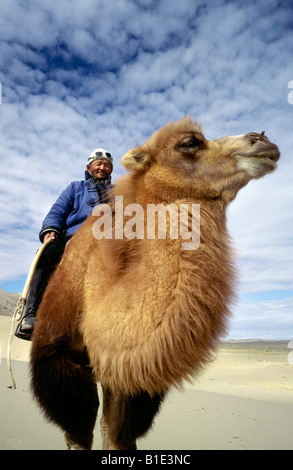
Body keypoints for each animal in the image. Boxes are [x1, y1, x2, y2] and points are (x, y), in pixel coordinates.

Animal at [29, 115, 278, 450]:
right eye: (190, 142)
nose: (262, 139)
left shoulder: (131, 372)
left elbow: (118, 433)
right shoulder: (59, 359)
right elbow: (80, 431)